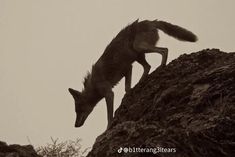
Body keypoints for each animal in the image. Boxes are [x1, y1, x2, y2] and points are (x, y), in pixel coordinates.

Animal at [69, 19, 197, 128]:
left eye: (78, 110)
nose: (75, 125)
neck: (93, 85)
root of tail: (150, 21)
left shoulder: (110, 93)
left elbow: (109, 115)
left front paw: (108, 127)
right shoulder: (128, 69)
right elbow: (127, 88)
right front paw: (130, 93)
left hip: (139, 48)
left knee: (164, 50)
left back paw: (162, 67)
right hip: (138, 54)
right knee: (148, 66)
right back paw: (142, 81)